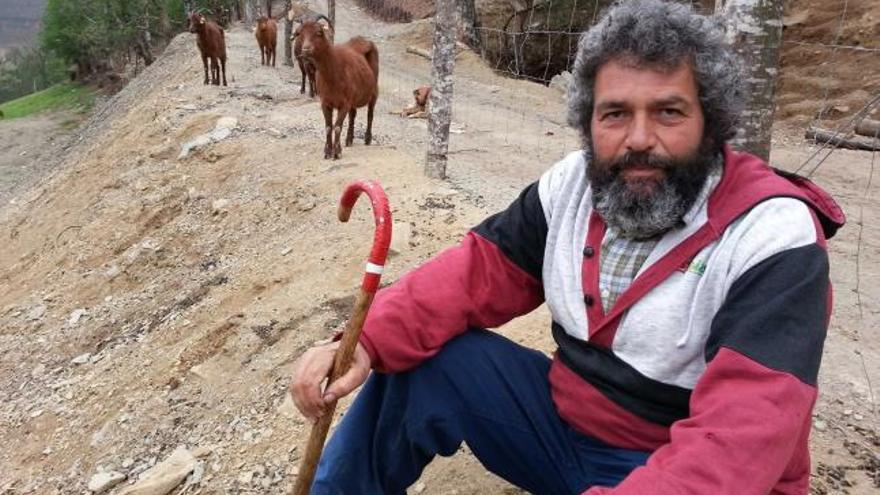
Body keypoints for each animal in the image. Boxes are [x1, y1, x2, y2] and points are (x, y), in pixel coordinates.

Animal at [300, 17, 378, 159]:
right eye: (301, 34)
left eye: (319, 32)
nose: (305, 50)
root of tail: (364, 40)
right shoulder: (325, 102)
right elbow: (328, 127)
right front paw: (327, 152)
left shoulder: (344, 103)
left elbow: (337, 127)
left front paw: (337, 152)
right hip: (354, 97)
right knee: (353, 115)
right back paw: (349, 139)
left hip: (374, 91)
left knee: (370, 114)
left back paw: (367, 138)